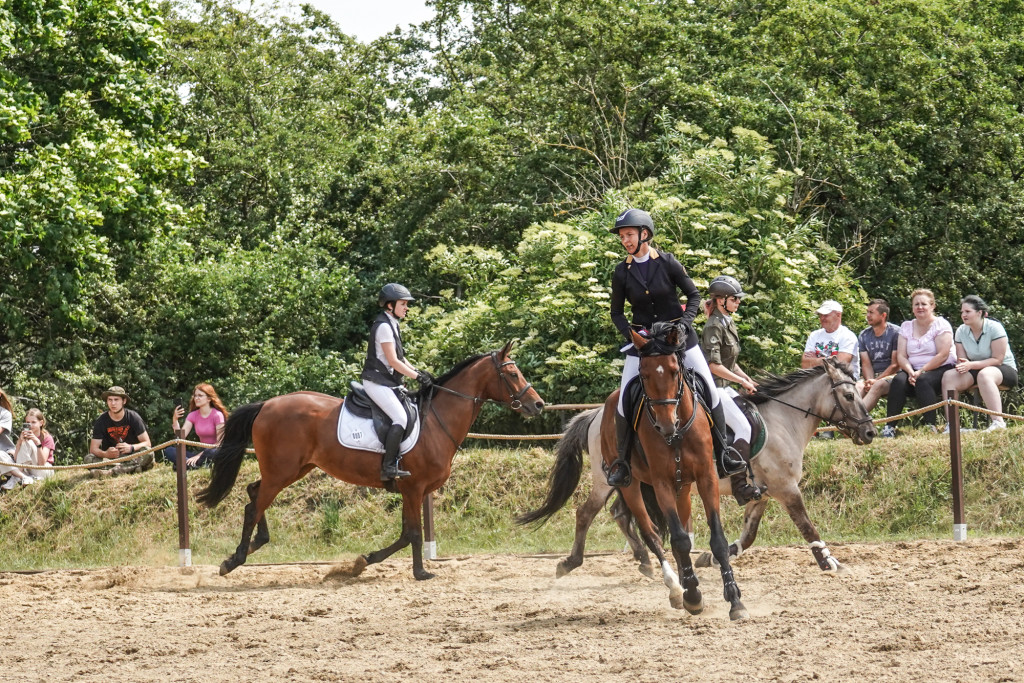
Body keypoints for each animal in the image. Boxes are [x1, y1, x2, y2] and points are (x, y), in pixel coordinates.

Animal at [192, 344, 544, 581]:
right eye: (512, 373)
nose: (537, 405)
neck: (437, 420)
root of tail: (267, 405)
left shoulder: (410, 491)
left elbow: (404, 534)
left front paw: (363, 561)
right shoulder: (414, 488)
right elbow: (413, 533)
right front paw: (420, 572)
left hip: (292, 469)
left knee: (255, 493)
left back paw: (256, 544)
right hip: (282, 471)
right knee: (255, 504)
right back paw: (234, 560)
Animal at [520, 325, 745, 618]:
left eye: (675, 371)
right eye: (645, 375)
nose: (666, 425)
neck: (677, 433)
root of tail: (597, 412)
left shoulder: (706, 477)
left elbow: (715, 539)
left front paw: (734, 600)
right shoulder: (661, 483)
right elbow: (678, 539)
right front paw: (693, 596)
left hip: (681, 486)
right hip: (623, 482)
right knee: (643, 528)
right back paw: (674, 586)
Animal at [548, 356, 876, 581]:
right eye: (849, 396)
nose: (870, 432)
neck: (784, 421)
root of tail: (595, 414)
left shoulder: (762, 493)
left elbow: (749, 535)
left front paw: (713, 557)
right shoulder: (786, 488)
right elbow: (807, 526)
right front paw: (830, 562)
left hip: (633, 481)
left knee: (619, 513)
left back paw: (645, 561)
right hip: (608, 479)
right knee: (586, 513)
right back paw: (570, 562)